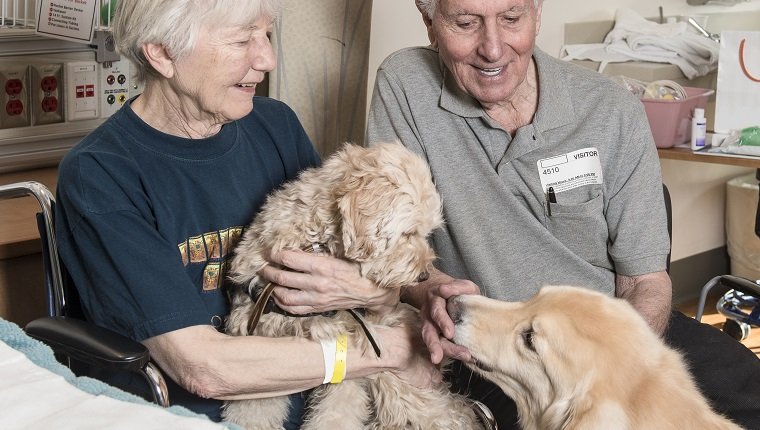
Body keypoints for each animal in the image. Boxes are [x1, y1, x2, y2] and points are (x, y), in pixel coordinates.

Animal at [223, 144, 480, 430]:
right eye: (408, 233)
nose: (424, 276)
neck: (316, 241)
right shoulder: (264, 340)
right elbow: (251, 411)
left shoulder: (351, 364)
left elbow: (335, 416)